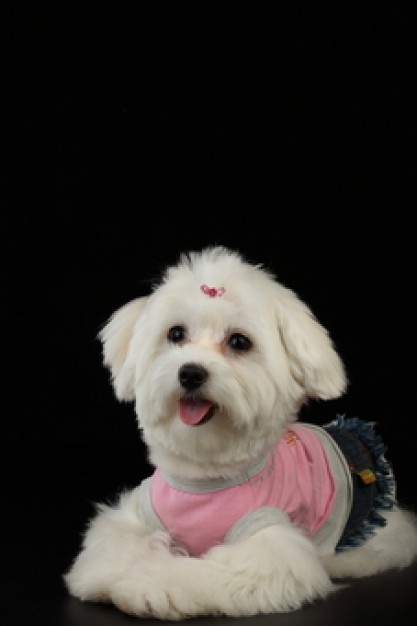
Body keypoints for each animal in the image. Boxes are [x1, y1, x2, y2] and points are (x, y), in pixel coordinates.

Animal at [64, 245, 416, 620]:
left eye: (238, 342)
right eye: (176, 334)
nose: (191, 372)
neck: (205, 477)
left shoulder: (267, 549)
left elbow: (209, 573)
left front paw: (148, 584)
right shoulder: (133, 517)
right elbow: (113, 547)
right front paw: (111, 575)